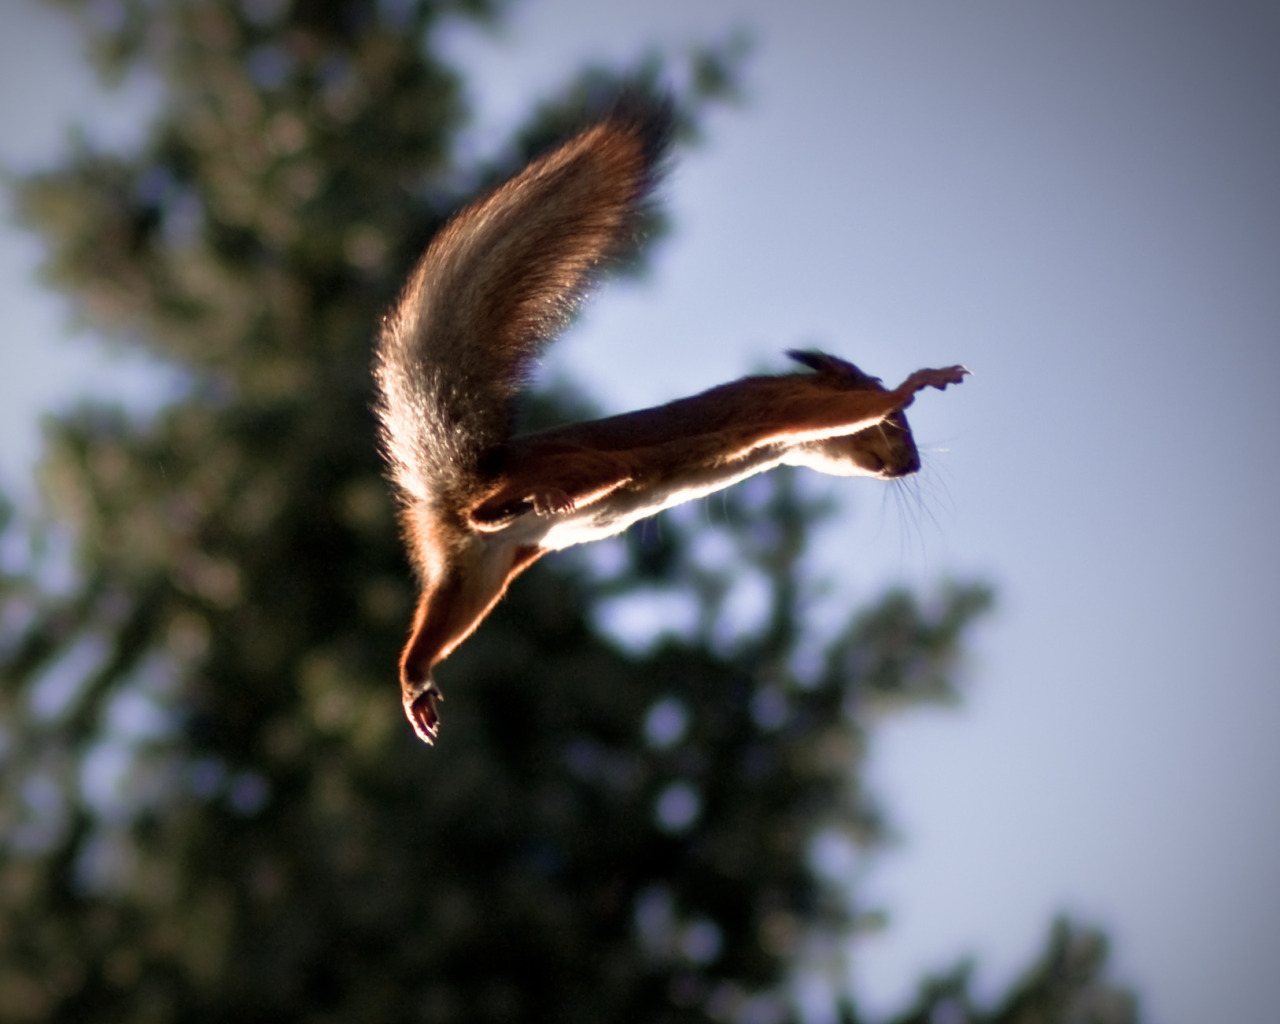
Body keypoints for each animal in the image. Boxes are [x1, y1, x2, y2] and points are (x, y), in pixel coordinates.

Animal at [373, 96, 962, 742]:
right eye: (897, 429)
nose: (912, 465)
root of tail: (459, 485)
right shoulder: (790, 407)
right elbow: (851, 408)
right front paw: (918, 383)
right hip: (588, 470)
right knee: (518, 498)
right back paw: (519, 504)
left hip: (480, 575)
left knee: (437, 619)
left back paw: (415, 681)